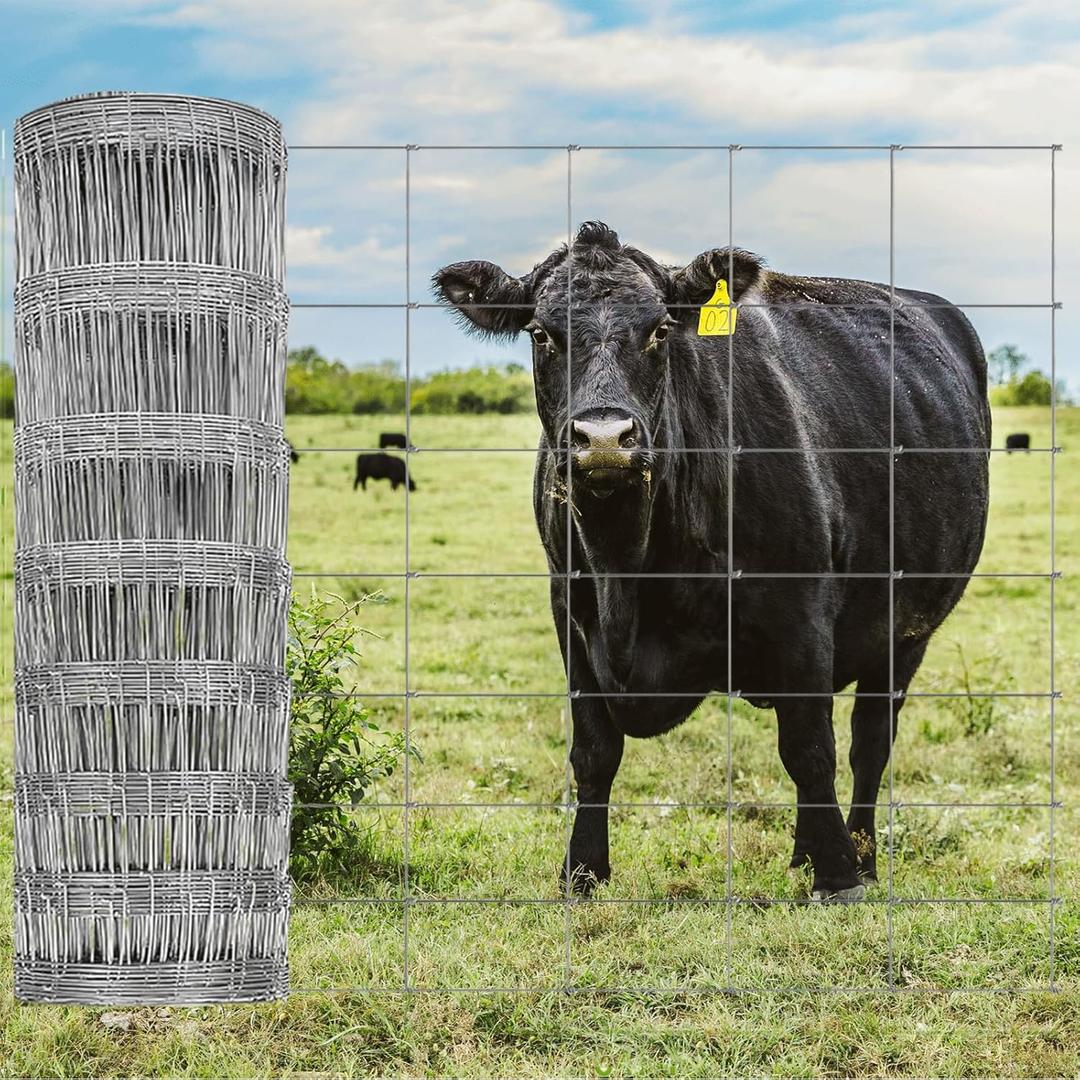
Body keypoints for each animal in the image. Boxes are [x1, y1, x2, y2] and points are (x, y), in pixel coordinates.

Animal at [434, 221, 990, 903]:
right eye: (541, 333)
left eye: (659, 330)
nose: (603, 440)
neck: (630, 567)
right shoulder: (571, 610)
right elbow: (594, 751)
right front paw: (582, 871)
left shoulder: (801, 613)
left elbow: (810, 749)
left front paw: (838, 877)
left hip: (907, 631)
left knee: (868, 743)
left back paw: (857, 855)